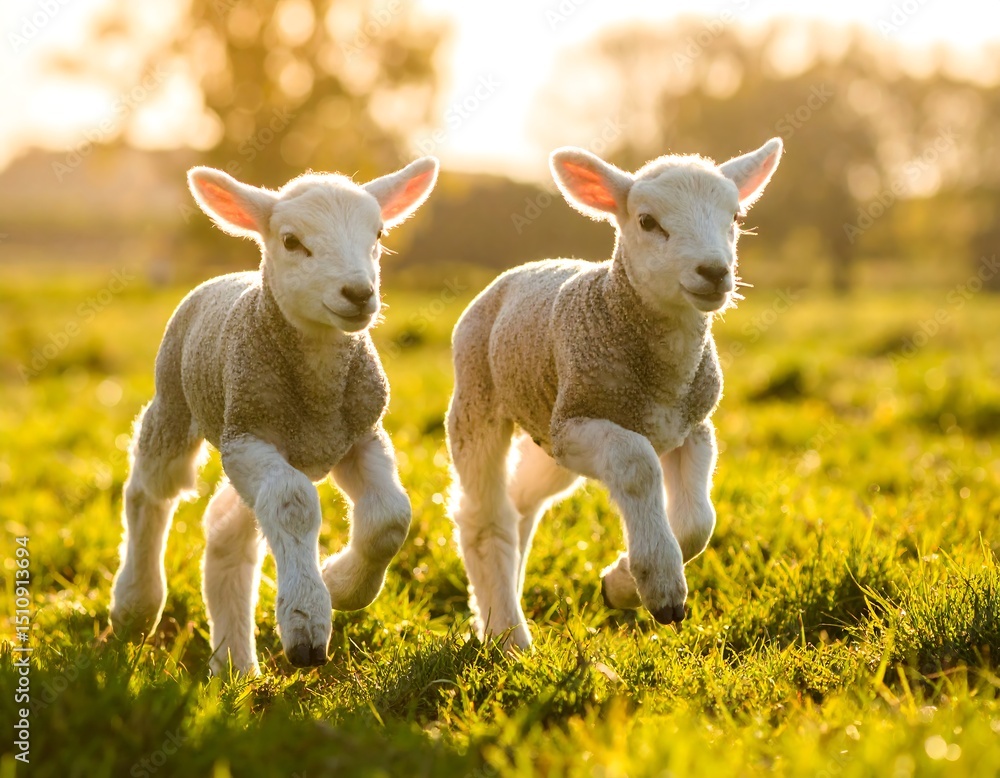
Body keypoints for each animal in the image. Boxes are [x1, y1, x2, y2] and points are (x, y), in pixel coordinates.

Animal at [109, 157, 439, 675]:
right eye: (291, 241)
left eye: (379, 234)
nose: (359, 293)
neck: (317, 393)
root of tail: (229, 276)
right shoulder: (246, 435)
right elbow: (293, 502)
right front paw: (307, 621)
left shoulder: (363, 434)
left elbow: (390, 518)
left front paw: (341, 584)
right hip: (175, 402)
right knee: (151, 491)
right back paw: (135, 605)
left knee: (227, 531)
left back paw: (233, 665)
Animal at [446, 138, 783, 651]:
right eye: (647, 221)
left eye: (737, 217)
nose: (714, 272)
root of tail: (520, 270)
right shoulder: (580, 421)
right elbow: (636, 463)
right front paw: (659, 584)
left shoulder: (691, 427)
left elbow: (699, 523)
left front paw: (620, 583)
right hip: (478, 397)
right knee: (484, 518)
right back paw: (508, 636)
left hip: (545, 430)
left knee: (521, 502)